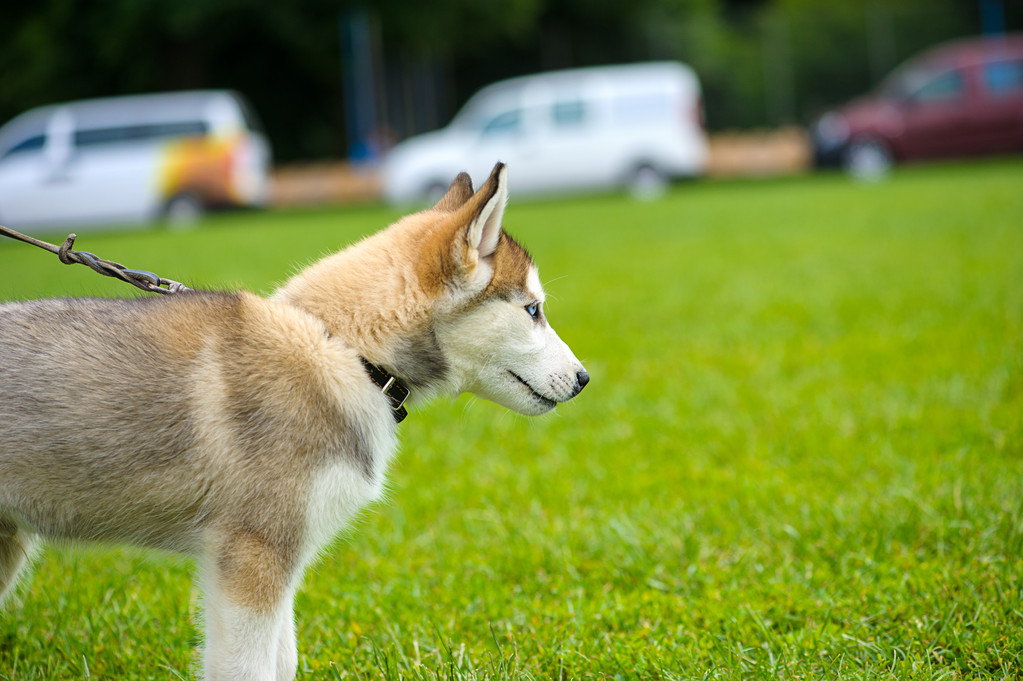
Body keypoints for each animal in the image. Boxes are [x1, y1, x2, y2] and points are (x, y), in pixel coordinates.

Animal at [0, 164, 589, 678]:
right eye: (533, 310)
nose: (585, 379)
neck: (346, 349)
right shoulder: (253, 558)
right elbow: (247, 669)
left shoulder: (280, 563)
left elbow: (283, 663)